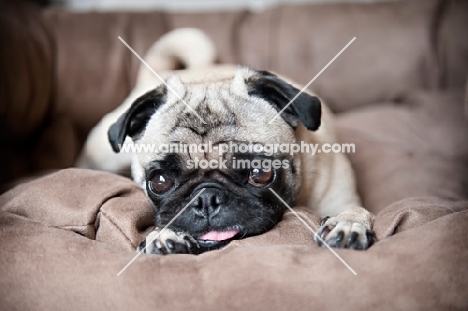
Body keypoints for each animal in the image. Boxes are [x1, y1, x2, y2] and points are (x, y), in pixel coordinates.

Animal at [77, 28, 376, 255]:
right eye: (160, 181)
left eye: (260, 173)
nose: (206, 199)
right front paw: (163, 236)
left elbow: (356, 209)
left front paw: (349, 224)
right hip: (105, 154)